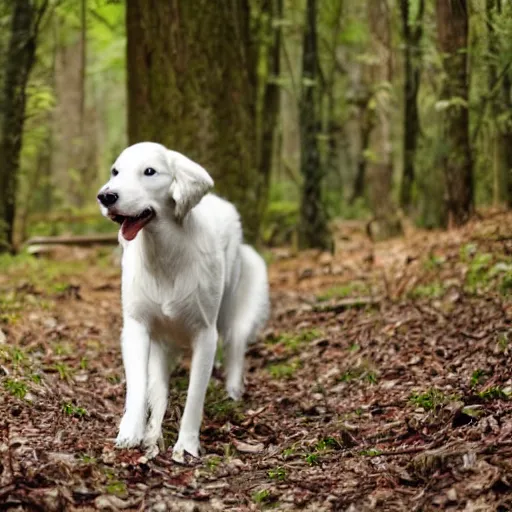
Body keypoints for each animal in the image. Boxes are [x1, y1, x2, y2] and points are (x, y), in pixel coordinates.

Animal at [97, 142, 270, 462]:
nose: (106, 196)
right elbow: (139, 385)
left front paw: (186, 445)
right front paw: (133, 432)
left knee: (235, 344)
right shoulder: (137, 326)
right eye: (116, 171)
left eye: (149, 171)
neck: (163, 253)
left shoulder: (205, 332)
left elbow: (194, 396)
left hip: (229, 306)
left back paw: (233, 389)